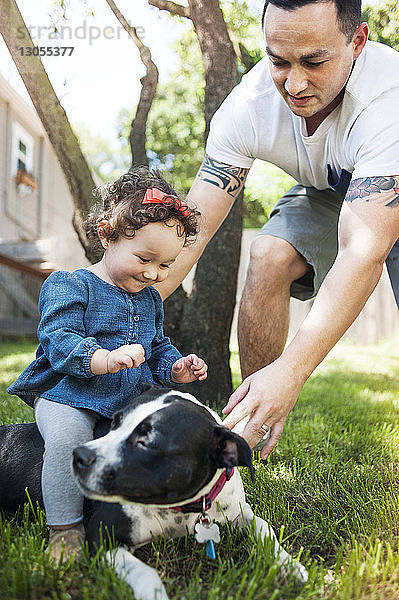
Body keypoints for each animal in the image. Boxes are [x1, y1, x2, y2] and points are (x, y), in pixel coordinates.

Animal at [0, 386, 308, 596]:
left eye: (146, 442)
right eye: (114, 423)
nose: (79, 455)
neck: (180, 507)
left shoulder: (238, 513)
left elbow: (265, 528)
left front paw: (289, 564)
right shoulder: (102, 537)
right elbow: (145, 573)